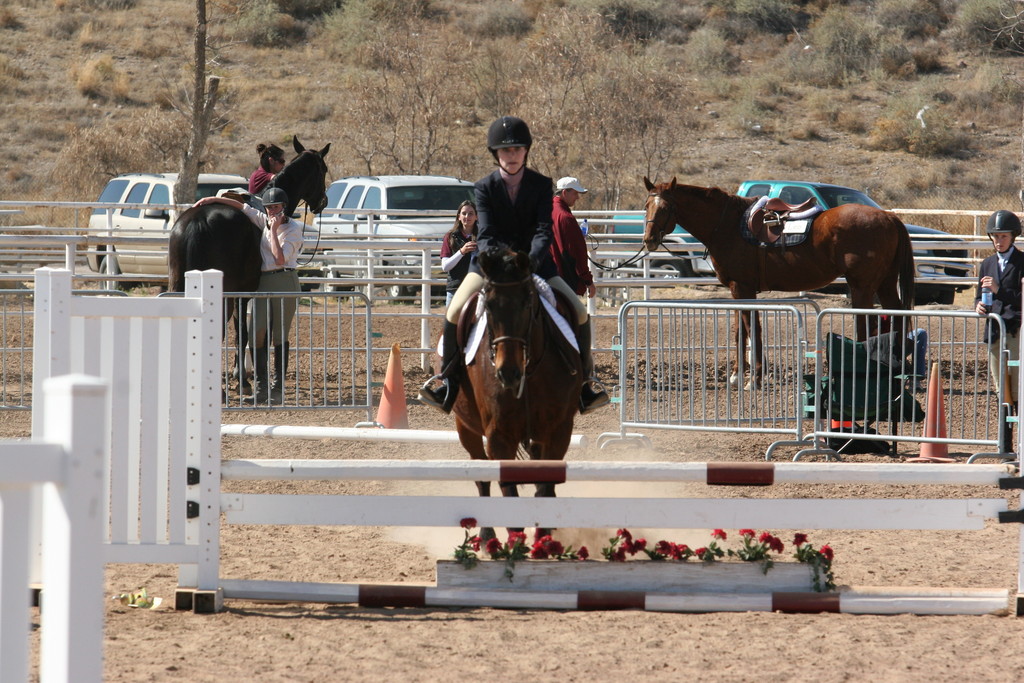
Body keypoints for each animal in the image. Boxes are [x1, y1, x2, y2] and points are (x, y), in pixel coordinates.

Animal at [456, 248, 585, 540]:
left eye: (528, 304)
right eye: (488, 306)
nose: (508, 374)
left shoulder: (559, 431)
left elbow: (545, 486)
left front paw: (545, 537)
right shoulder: (498, 435)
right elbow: (508, 493)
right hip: (465, 427)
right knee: (481, 475)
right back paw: (487, 536)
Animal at [638, 176, 913, 387]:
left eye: (666, 208)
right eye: (647, 205)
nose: (649, 239)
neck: (727, 225)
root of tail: (888, 217)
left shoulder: (743, 287)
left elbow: (752, 329)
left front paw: (754, 379)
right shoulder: (737, 290)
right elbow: (740, 331)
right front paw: (737, 376)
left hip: (862, 287)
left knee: (868, 325)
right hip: (885, 284)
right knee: (897, 317)